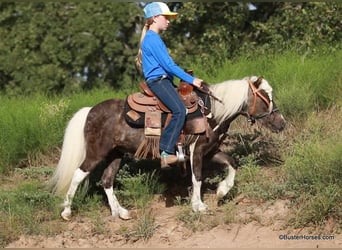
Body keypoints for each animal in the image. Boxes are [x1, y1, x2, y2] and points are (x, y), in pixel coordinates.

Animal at [48, 75, 286, 220]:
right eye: (266, 97)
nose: (282, 122)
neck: (212, 112)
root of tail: (90, 111)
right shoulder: (196, 151)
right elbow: (197, 178)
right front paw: (199, 206)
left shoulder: (210, 151)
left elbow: (232, 163)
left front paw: (221, 191)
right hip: (97, 153)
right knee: (78, 175)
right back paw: (67, 211)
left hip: (116, 155)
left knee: (106, 180)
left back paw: (120, 211)